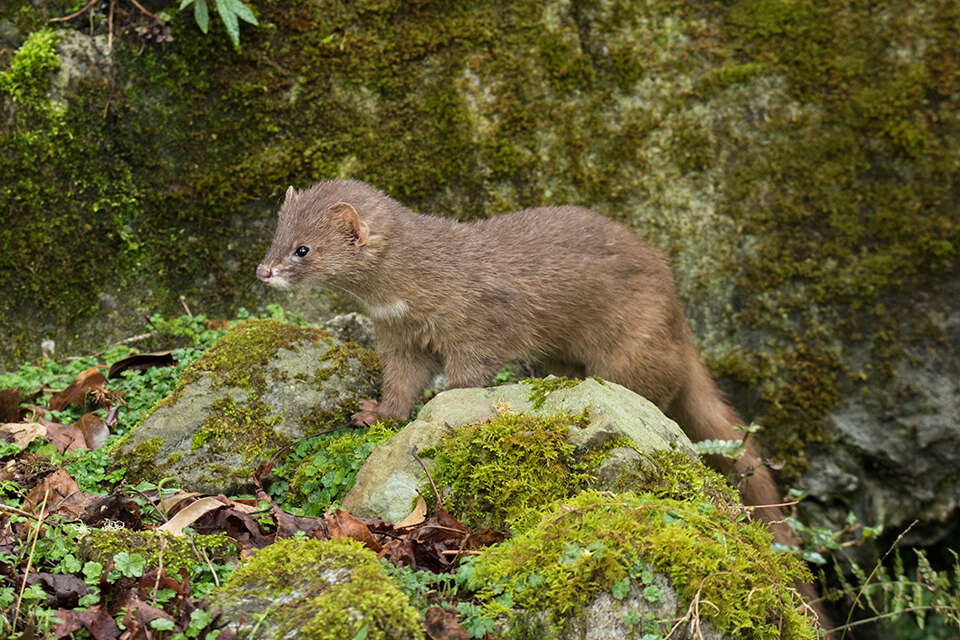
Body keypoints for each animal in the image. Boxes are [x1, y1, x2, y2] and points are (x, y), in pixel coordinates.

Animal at [255, 181, 788, 536]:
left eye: (303, 249)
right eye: (275, 237)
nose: (263, 271)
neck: (408, 293)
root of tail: (677, 313)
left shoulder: (479, 322)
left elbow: (468, 373)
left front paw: (443, 406)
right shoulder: (399, 337)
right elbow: (401, 382)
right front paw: (376, 414)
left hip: (635, 345)